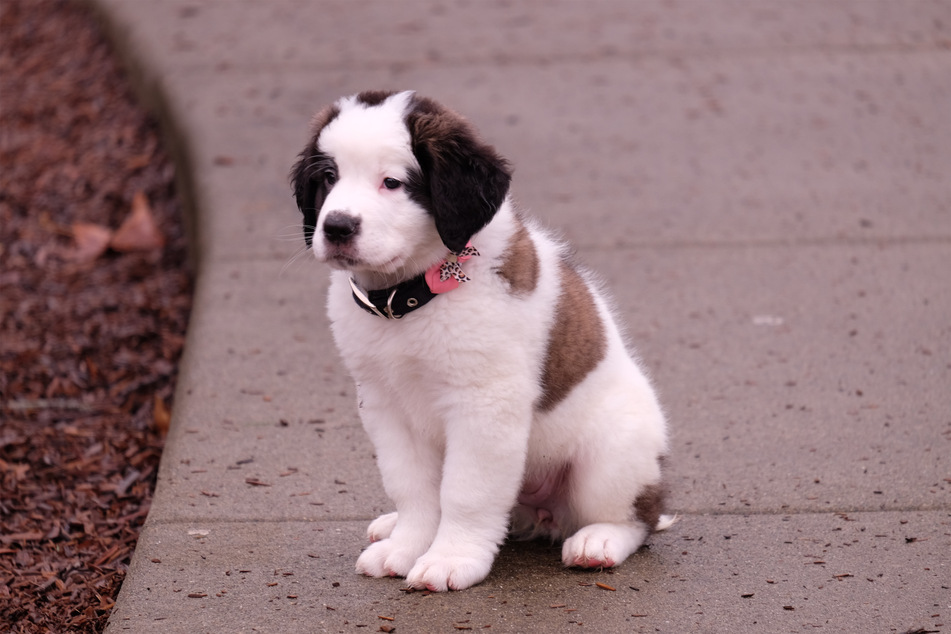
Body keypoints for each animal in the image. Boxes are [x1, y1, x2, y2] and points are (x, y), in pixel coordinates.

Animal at [290, 89, 668, 588]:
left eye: (392, 183)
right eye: (329, 178)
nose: (336, 227)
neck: (409, 297)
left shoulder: (483, 404)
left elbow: (465, 492)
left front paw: (451, 558)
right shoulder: (384, 405)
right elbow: (412, 486)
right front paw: (406, 545)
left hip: (611, 458)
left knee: (636, 516)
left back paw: (599, 540)